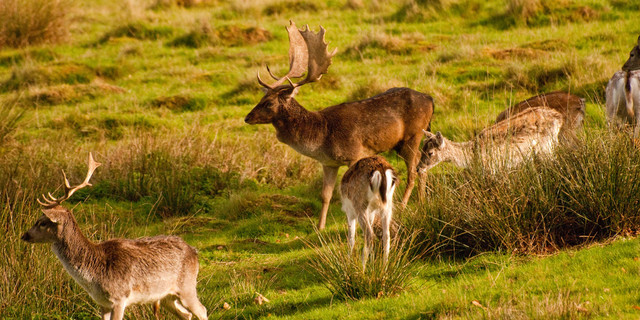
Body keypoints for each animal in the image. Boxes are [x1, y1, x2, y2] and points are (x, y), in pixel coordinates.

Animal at [21, 154, 206, 320]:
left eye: (42, 222)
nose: (24, 235)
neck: (94, 276)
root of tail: (195, 252)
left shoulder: (119, 298)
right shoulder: (102, 303)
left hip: (187, 287)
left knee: (202, 311)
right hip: (166, 296)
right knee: (187, 314)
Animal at [418, 107, 564, 172]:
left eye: (430, 152)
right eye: (421, 150)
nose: (418, 169)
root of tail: (559, 116)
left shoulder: (492, 169)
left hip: (546, 147)